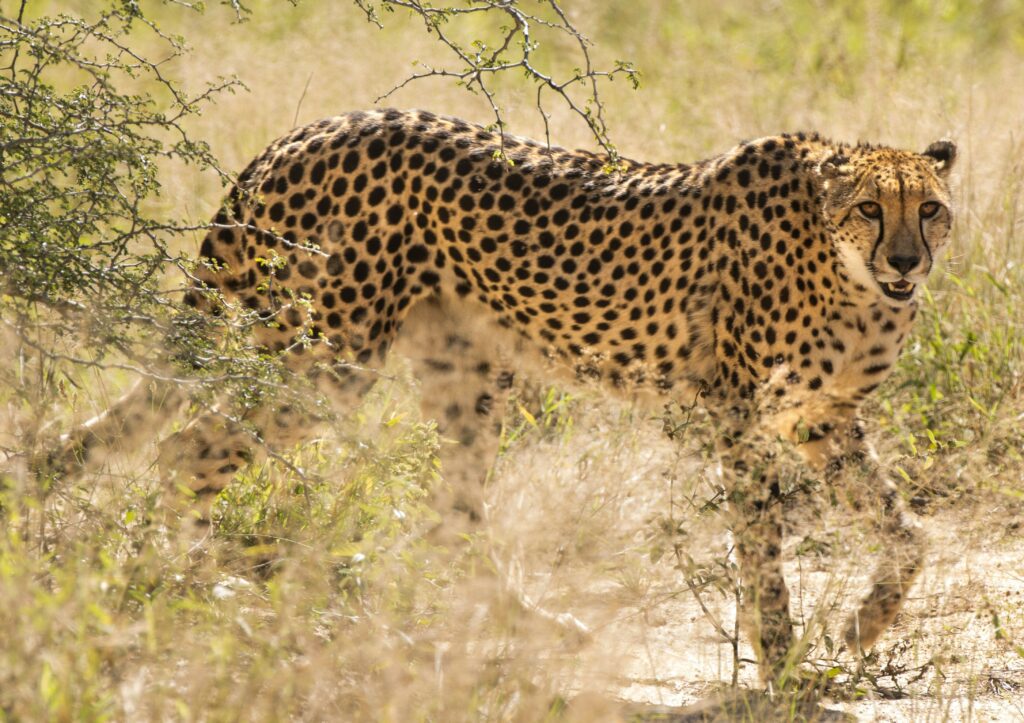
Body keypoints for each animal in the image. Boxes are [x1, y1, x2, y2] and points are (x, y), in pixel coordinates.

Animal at [51, 108, 954, 688]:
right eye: (869, 208)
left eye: (932, 209)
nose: (907, 261)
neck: (848, 273)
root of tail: (304, 131)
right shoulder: (738, 413)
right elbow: (763, 546)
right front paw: (785, 663)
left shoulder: (819, 418)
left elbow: (906, 530)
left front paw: (864, 625)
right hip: (328, 358)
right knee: (187, 448)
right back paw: (210, 586)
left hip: (460, 371)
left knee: (452, 516)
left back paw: (530, 627)